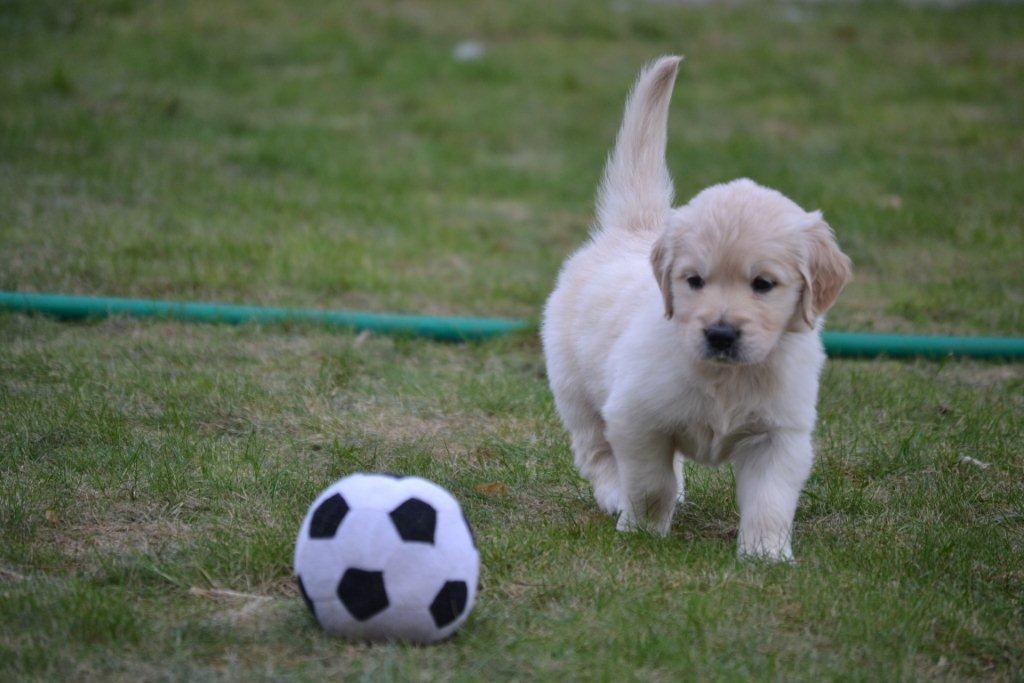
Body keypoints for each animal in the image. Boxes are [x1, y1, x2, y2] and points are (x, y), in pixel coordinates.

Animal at [541, 56, 852, 561]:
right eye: (694, 281)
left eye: (763, 284)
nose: (720, 334)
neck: (725, 377)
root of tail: (636, 226)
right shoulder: (636, 418)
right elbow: (651, 484)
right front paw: (643, 530)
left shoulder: (780, 435)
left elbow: (770, 499)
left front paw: (765, 555)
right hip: (576, 391)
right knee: (596, 452)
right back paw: (614, 495)